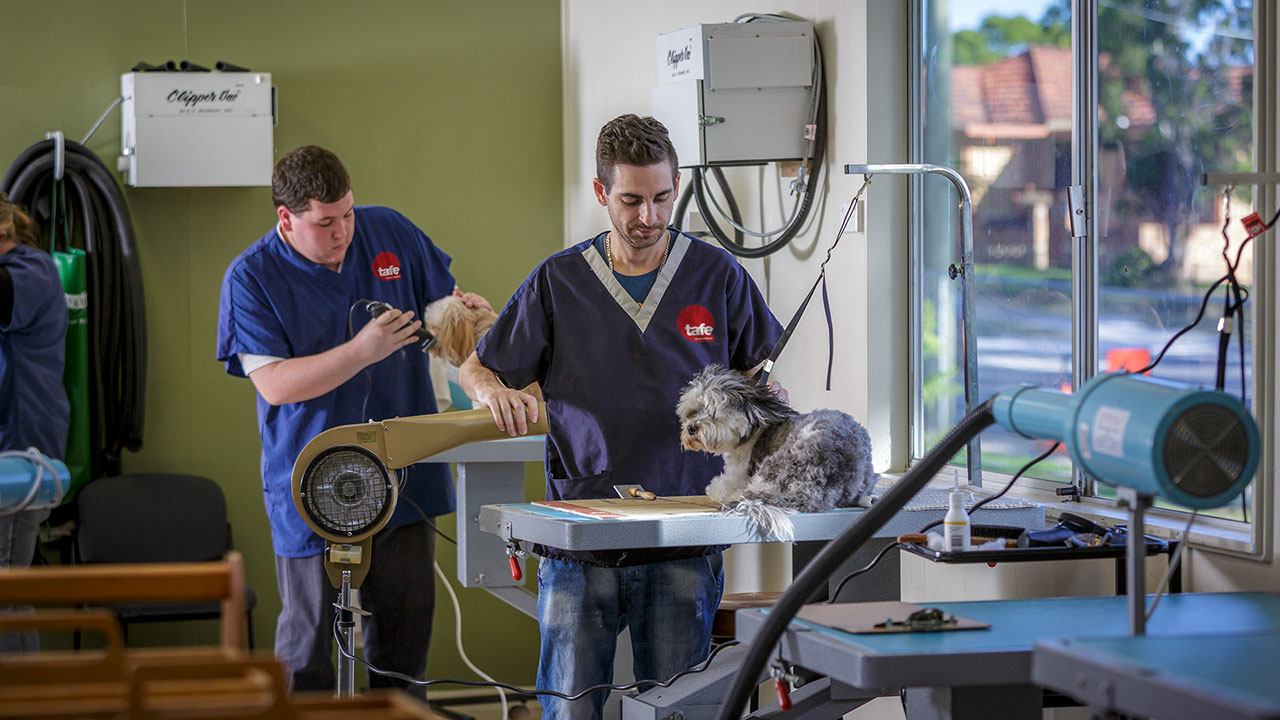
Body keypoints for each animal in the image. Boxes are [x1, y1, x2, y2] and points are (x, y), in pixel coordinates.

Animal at [675, 363, 875, 538]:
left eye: (714, 414)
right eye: (693, 411)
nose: (692, 428)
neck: (754, 431)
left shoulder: (738, 473)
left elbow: (720, 485)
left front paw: (716, 489)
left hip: (779, 462)